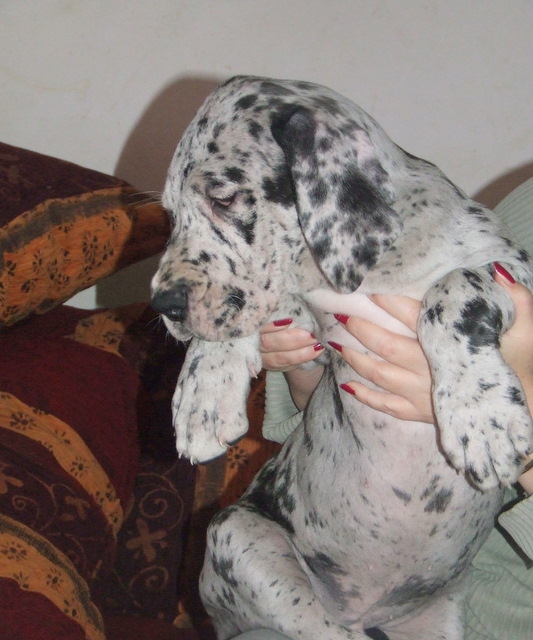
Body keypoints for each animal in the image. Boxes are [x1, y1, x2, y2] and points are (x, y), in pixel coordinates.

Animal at [151, 76, 533, 639]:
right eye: (172, 213)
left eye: (223, 196)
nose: (164, 305)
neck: (377, 268)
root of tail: (368, 611)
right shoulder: (310, 319)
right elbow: (255, 311)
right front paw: (204, 395)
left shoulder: (509, 268)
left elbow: (452, 288)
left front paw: (484, 419)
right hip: (235, 532)